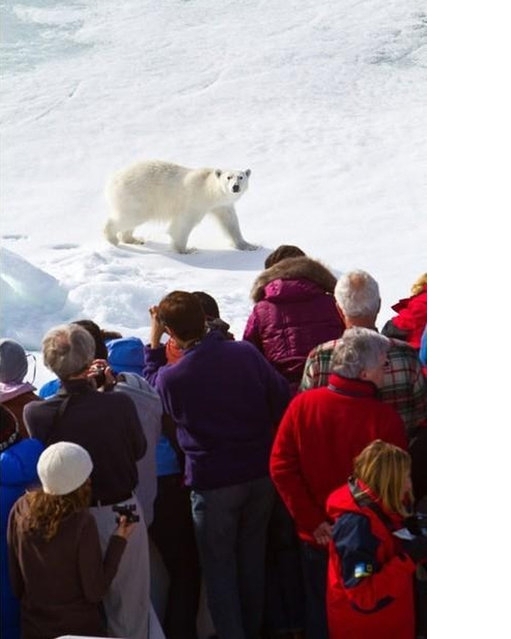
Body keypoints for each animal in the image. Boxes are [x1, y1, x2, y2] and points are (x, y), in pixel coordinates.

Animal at [103, 160, 258, 255]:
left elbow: (231, 223)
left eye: (241, 177)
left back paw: (134, 239)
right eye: (228, 177)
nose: (235, 187)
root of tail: (114, 180)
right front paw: (186, 250)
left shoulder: (222, 205)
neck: (209, 191)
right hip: (138, 195)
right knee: (130, 217)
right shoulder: (194, 201)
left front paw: (249, 246)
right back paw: (112, 238)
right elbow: (182, 224)